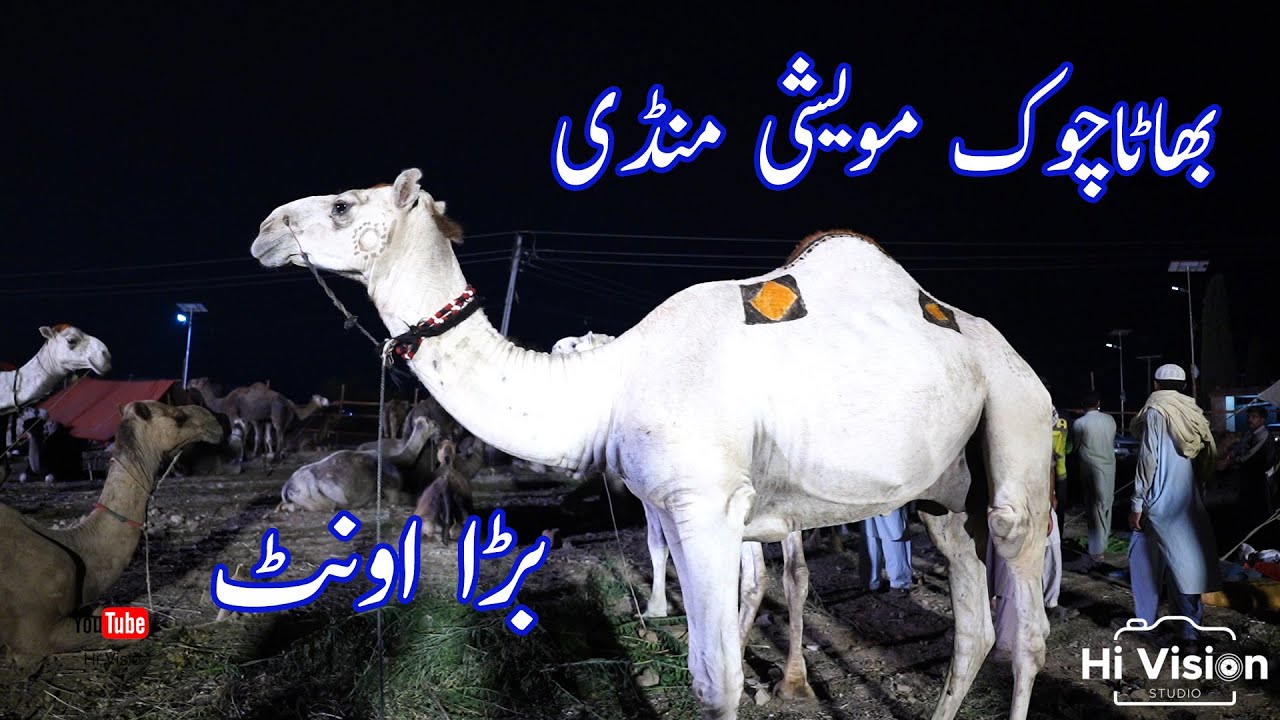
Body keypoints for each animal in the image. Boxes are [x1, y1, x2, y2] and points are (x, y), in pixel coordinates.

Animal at [278, 416, 436, 512]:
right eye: (431, 423)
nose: (438, 426)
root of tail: (288, 484)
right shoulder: (392, 489)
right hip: (311, 492)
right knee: (328, 505)